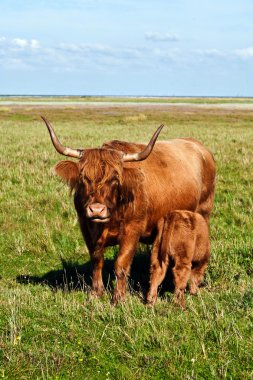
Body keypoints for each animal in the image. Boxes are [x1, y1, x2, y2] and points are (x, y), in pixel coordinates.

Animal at [41, 117, 215, 304]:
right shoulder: (85, 226)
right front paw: (96, 292)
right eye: (83, 177)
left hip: (203, 213)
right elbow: (96, 260)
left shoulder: (132, 230)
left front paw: (118, 297)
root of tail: (199, 147)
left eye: (115, 178)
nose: (96, 210)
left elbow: (121, 264)